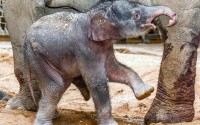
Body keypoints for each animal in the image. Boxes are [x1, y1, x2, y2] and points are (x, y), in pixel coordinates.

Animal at [2, 0, 199, 124]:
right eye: (136, 15)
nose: (172, 18)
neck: (97, 14)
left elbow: (115, 71)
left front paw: (145, 92)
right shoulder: (85, 48)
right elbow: (97, 80)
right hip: (38, 56)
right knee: (56, 86)